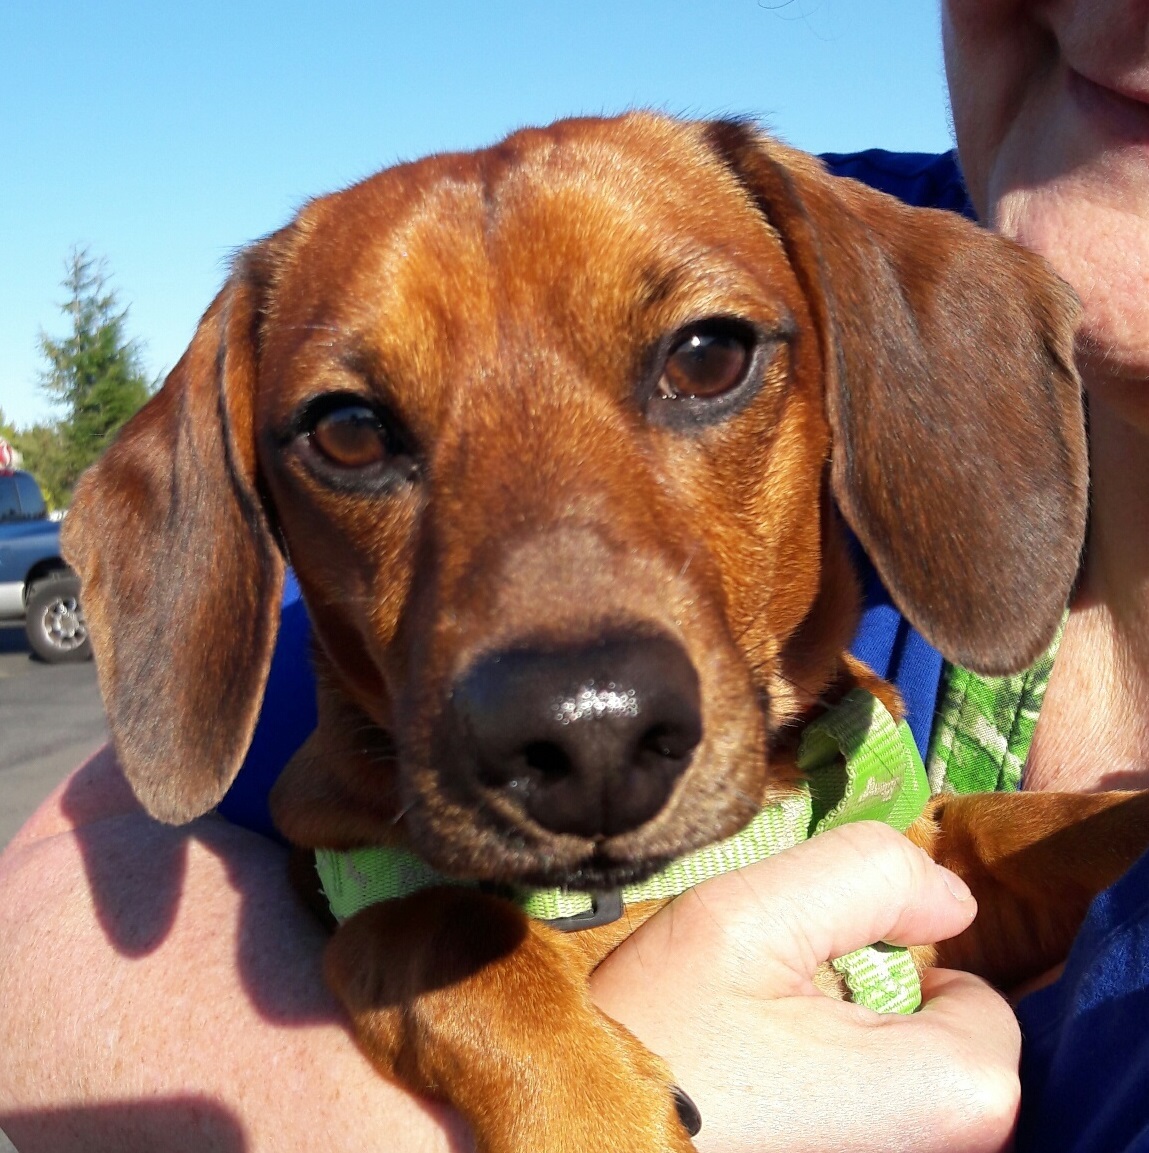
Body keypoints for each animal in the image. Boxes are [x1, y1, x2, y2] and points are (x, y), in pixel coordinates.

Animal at [65, 114, 1149, 1153]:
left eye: (708, 355)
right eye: (347, 430)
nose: (588, 735)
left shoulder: (932, 861)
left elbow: (1027, 826)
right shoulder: (359, 892)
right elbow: (443, 929)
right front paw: (589, 1109)